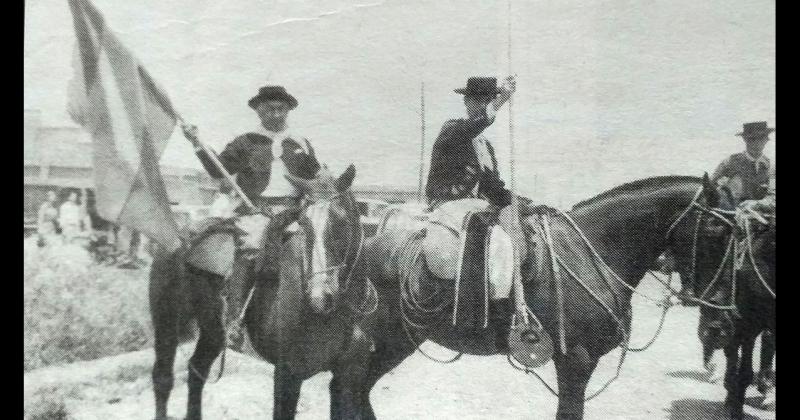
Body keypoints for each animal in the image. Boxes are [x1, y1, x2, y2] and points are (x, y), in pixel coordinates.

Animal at [150, 165, 378, 420]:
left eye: (342, 222)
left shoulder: (349, 376)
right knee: (162, 378)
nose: (319, 297)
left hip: (213, 330)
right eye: (303, 223)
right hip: (167, 321)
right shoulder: (287, 374)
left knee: (196, 369)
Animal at [328, 174, 728, 420]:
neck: (592, 250)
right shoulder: (576, 362)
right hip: (386, 338)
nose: (718, 313)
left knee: (354, 390)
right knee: (349, 388)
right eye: (715, 228)